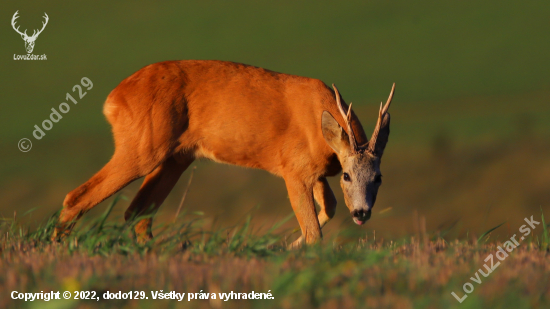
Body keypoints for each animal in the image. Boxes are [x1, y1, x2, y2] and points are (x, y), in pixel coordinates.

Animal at [54, 60, 394, 248]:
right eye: (347, 175)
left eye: (379, 177)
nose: (362, 213)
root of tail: (113, 99)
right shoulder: (293, 169)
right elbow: (314, 232)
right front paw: (291, 249)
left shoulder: (314, 170)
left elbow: (331, 206)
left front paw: (286, 246)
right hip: (142, 148)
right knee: (77, 196)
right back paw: (57, 248)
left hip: (177, 157)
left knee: (136, 211)